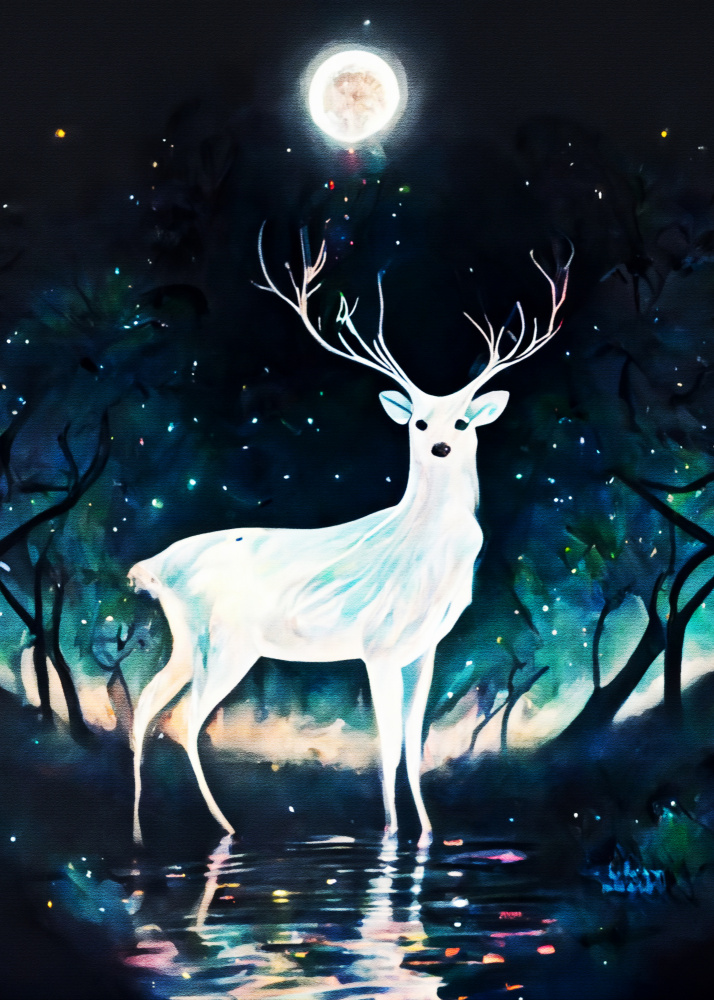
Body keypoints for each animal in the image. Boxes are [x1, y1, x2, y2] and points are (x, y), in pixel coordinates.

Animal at [129, 226, 571, 847]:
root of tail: (154, 569)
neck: (430, 561)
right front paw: (388, 836)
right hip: (227, 642)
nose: (440, 446)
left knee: (146, 706)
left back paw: (142, 830)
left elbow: (414, 746)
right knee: (182, 718)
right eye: (418, 422)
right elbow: (387, 749)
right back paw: (225, 828)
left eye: (461, 422)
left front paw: (428, 835)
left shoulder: (424, 649)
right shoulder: (378, 645)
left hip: (189, 641)